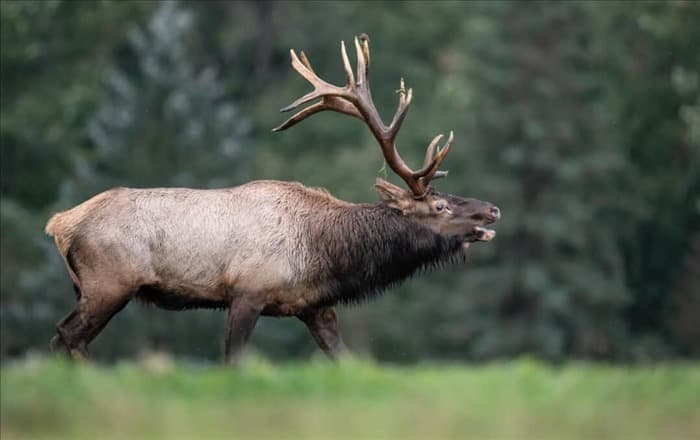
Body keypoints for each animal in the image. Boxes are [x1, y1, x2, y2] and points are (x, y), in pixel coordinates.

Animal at [46, 36, 500, 362]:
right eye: (440, 206)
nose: (492, 208)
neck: (324, 252)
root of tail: (60, 223)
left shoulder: (315, 306)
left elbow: (345, 361)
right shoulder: (247, 291)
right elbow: (234, 360)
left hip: (89, 288)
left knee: (61, 337)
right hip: (109, 283)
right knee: (68, 335)